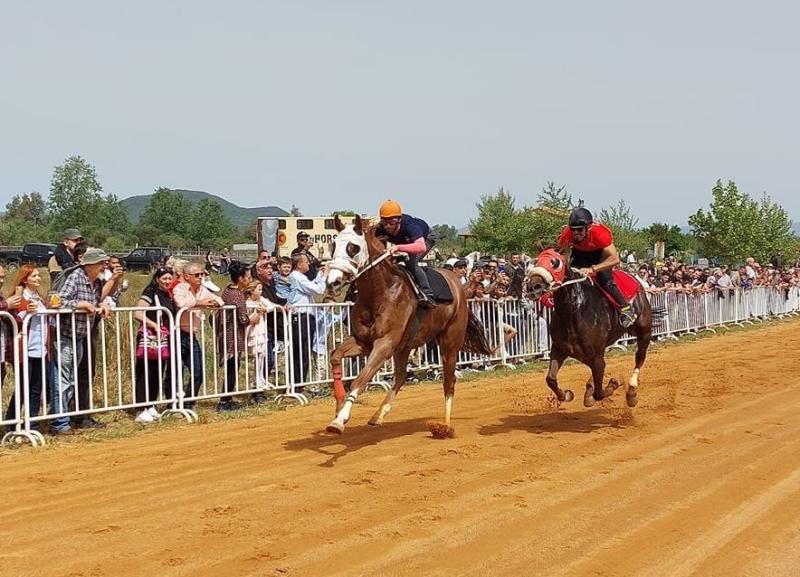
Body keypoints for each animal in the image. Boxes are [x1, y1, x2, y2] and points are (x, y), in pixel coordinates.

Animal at [322, 215, 490, 436]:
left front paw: (340, 420)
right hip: (405, 346)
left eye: (353, 247)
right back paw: (378, 415)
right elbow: (335, 356)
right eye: (333, 246)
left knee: (449, 381)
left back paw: (445, 426)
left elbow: (361, 378)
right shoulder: (363, 342)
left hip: (449, 342)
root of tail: (459, 285)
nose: (332, 283)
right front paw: (339, 404)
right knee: (401, 376)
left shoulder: (384, 344)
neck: (380, 292)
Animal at [528, 250, 652, 408]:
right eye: (536, 261)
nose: (533, 287)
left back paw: (631, 392)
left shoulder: (596, 357)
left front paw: (612, 384)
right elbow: (550, 379)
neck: (575, 311)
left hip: (644, 331)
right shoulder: (559, 348)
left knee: (640, 357)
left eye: (555, 263)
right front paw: (566, 394)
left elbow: (599, 393)